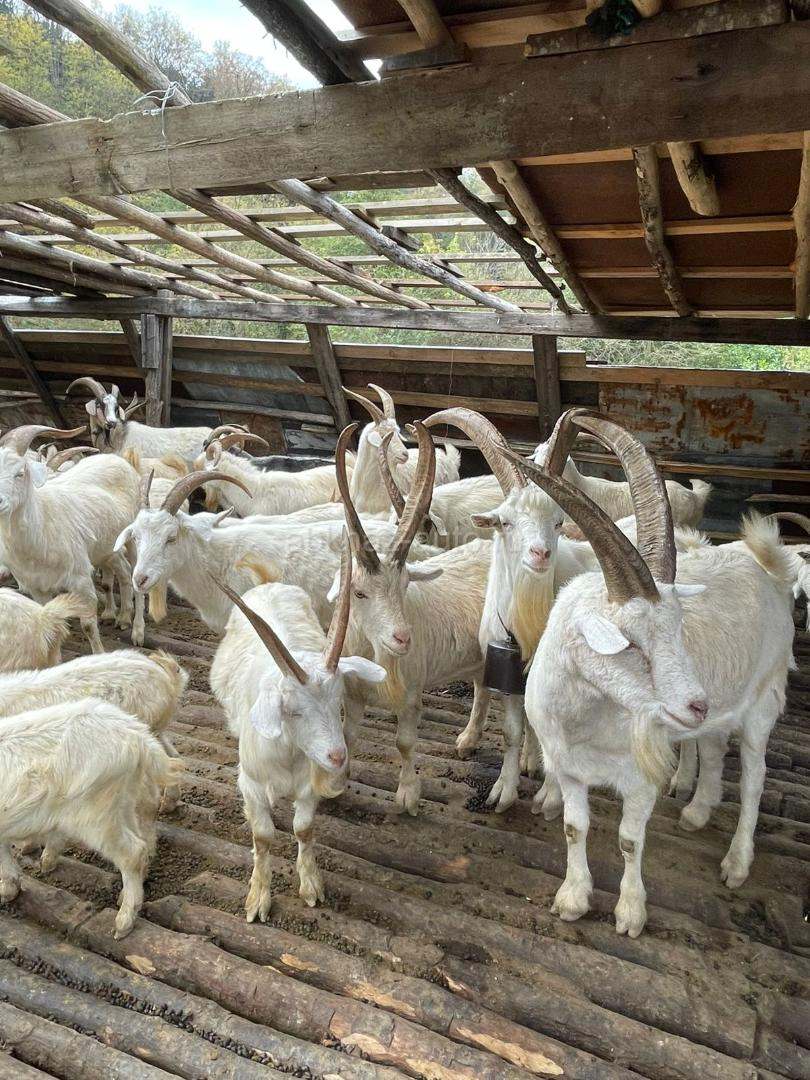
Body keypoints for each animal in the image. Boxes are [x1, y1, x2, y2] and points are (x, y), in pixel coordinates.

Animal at [0, 424, 142, 652]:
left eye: (19, 473)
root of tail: (116, 458)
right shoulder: (37, 587)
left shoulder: (81, 578)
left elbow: (88, 626)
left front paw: (99, 654)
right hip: (106, 547)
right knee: (123, 568)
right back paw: (123, 617)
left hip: (133, 534)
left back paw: (137, 630)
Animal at [0, 697, 181, 938]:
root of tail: (138, 735)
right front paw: (9, 890)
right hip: (123, 803)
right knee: (144, 835)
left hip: (96, 815)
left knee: (132, 853)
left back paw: (122, 924)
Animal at [210, 537, 385, 917]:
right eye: (291, 711)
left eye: (339, 701)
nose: (337, 757)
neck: (288, 753)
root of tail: (268, 583)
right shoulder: (252, 783)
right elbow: (263, 836)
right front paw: (258, 898)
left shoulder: (307, 785)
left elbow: (303, 829)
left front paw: (311, 885)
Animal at [337, 422, 492, 815]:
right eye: (358, 592)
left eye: (405, 584)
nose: (402, 639)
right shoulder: (353, 694)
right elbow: (348, 734)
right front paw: (338, 783)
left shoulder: (409, 695)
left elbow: (405, 743)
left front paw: (408, 794)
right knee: (482, 686)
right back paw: (468, 739)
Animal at [498, 412, 793, 938]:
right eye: (629, 642)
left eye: (677, 626)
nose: (695, 703)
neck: (588, 722)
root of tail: (769, 572)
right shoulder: (568, 768)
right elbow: (575, 828)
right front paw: (572, 898)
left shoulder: (640, 778)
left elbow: (629, 840)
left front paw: (630, 913)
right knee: (713, 748)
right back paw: (697, 811)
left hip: (764, 698)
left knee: (755, 777)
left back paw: (737, 863)